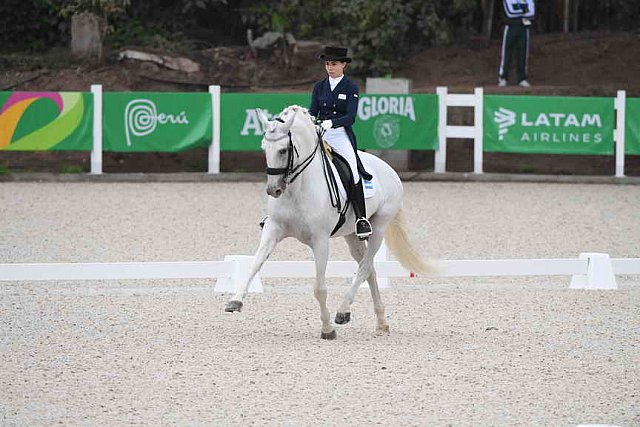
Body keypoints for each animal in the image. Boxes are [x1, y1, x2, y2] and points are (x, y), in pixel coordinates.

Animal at [222, 105, 432, 340]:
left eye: (283, 150)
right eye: (263, 147)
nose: (273, 190)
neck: (297, 188)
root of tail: (389, 169)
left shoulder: (321, 241)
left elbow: (319, 288)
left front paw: (327, 329)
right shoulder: (273, 229)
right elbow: (254, 264)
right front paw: (235, 301)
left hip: (378, 228)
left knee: (364, 266)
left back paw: (342, 312)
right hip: (352, 235)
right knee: (368, 268)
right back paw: (380, 322)